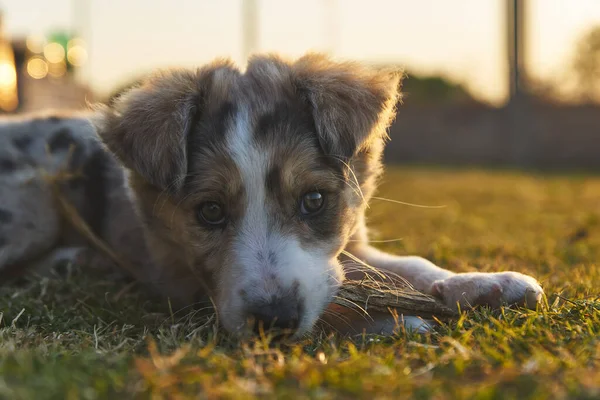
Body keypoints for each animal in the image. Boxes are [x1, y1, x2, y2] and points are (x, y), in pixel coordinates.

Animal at [0, 53, 544, 338]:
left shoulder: (347, 246)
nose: (274, 321)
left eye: (314, 201)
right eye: (210, 211)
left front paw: (483, 284)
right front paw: (396, 320)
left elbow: (406, 264)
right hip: (33, 205)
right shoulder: (192, 288)